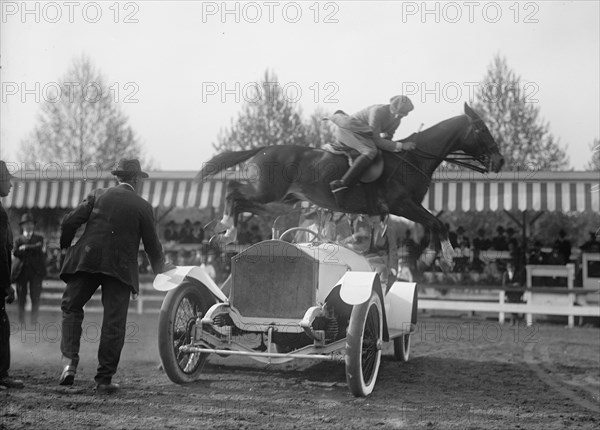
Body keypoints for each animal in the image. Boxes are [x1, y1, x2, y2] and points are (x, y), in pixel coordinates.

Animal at [199, 103, 504, 266]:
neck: (414, 158)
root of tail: (264, 148)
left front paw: (430, 257)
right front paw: (448, 257)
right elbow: (438, 223)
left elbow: (432, 225)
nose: (500, 161)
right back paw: (225, 228)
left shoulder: (410, 207)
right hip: (267, 192)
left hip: (281, 203)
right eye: (482, 130)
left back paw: (224, 233)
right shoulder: (402, 205)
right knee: (233, 192)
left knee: (242, 202)